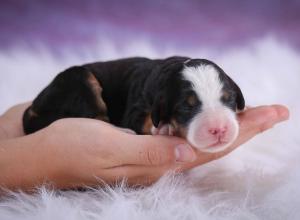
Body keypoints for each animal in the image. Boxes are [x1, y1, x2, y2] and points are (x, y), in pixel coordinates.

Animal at [22, 56, 244, 152]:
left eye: (229, 99)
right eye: (185, 107)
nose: (219, 129)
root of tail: (33, 107)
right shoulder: (136, 108)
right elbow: (143, 121)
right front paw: (166, 128)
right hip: (80, 81)